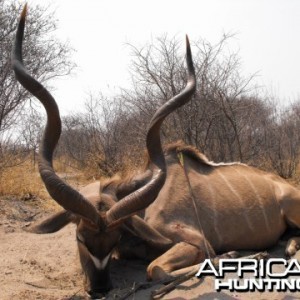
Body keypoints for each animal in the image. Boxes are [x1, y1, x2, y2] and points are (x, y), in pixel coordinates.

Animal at [11, 3, 300, 298]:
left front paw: (229, 256)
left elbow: (156, 269)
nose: (99, 288)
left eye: (115, 237)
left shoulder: (196, 241)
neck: (144, 211)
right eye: (79, 237)